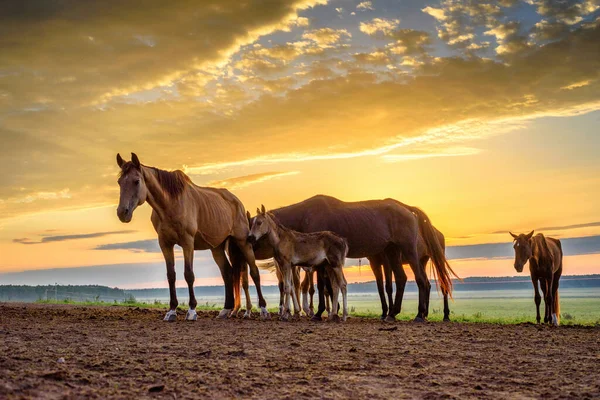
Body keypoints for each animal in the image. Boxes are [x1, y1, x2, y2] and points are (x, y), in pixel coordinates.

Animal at [115, 153, 270, 322]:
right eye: (119, 182)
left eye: (136, 181)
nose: (122, 213)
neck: (171, 204)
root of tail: (237, 202)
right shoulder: (165, 243)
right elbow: (171, 275)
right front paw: (171, 311)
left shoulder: (187, 242)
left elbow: (189, 274)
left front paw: (191, 311)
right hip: (216, 248)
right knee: (227, 273)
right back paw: (225, 310)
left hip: (243, 242)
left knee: (254, 272)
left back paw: (263, 309)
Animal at [239, 194, 454, 322]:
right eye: (250, 223)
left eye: (257, 223)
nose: (247, 240)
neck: (305, 214)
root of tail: (407, 208)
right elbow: (327, 287)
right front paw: (330, 312)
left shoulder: (320, 263)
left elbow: (323, 287)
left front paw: (320, 312)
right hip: (392, 252)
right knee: (401, 279)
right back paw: (392, 314)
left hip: (409, 251)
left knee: (422, 280)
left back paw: (419, 315)